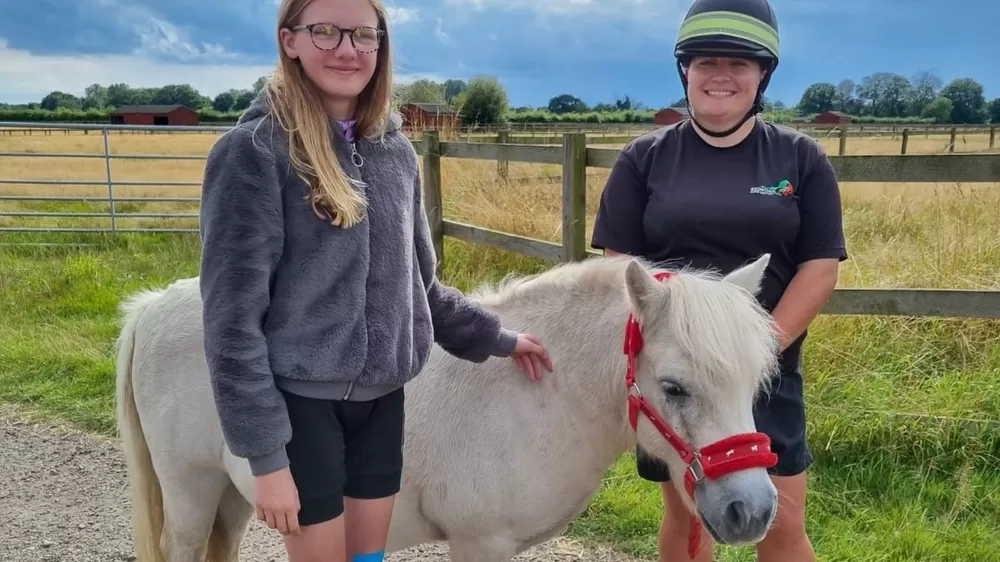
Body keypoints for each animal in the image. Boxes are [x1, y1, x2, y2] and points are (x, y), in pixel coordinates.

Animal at [117, 254, 784, 560]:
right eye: (673, 387)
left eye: (755, 381)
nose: (750, 510)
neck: (542, 395)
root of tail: (152, 308)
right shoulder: (477, 543)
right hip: (190, 493)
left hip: (232, 496)